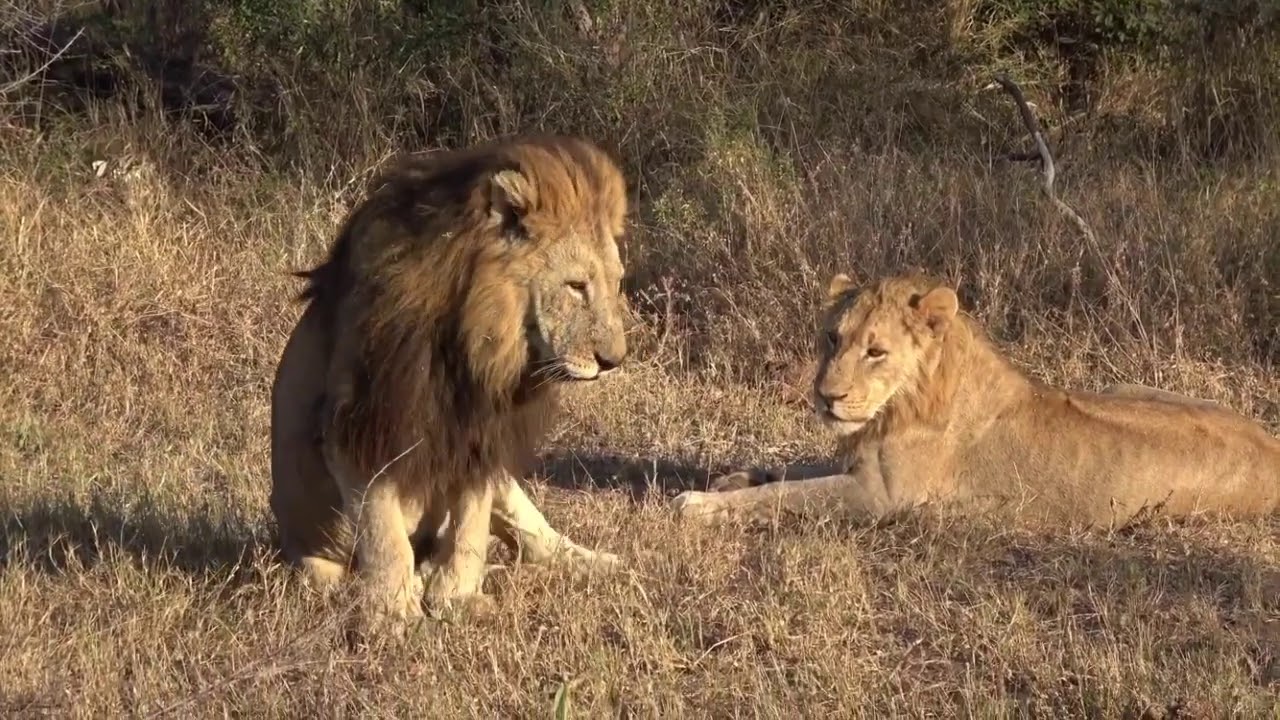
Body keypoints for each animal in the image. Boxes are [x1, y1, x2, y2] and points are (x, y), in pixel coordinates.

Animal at [270, 134, 630, 622]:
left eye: (617, 283)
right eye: (575, 286)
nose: (614, 361)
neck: (473, 337)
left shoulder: (480, 434)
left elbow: (470, 525)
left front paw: (456, 596)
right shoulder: (363, 422)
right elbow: (382, 532)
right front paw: (392, 611)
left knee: (530, 531)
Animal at [671, 272, 1280, 528]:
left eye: (876, 351)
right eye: (831, 339)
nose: (825, 397)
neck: (899, 406)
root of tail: (1272, 444)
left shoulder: (879, 497)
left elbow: (789, 496)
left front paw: (699, 505)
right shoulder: (857, 458)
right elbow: (797, 469)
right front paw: (734, 477)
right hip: (1124, 388)